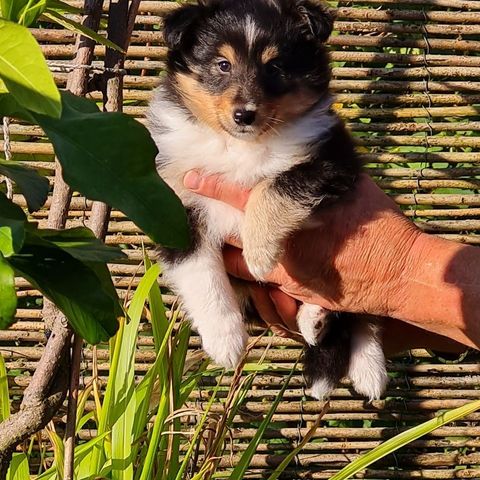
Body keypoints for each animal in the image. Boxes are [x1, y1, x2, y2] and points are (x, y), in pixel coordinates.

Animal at [148, 0, 388, 400]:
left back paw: (369, 367)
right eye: (222, 64)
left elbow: (275, 185)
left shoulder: (332, 159)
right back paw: (317, 322)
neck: (239, 145)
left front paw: (259, 254)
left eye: (274, 67)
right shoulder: (176, 202)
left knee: (361, 315)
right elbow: (200, 273)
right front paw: (225, 342)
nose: (244, 114)